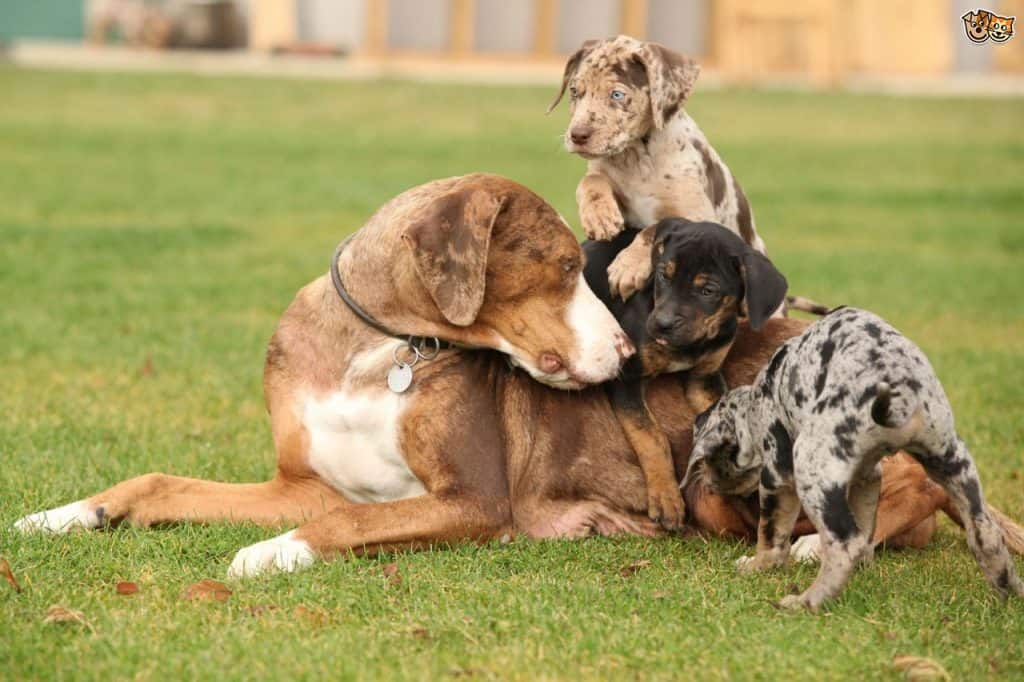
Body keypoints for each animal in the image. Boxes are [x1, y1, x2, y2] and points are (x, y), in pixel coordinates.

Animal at [581, 218, 786, 532]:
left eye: (708, 291)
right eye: (663, 276)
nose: (661, 324)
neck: (690, 345)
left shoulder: (704, 378)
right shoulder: (626, 380)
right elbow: (651, 437)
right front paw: (666, 498)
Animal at [684, 305, 1024, 606]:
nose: (710, 487)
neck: (757, 399)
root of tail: (899, 395)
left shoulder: (778, 477)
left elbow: (771, 535)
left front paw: (757, 566)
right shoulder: (868, 477)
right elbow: (865, 529)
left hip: (810, 470)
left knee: (843, 543)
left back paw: (806, 602)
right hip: (955, 466)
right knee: (986, 534)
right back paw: (1010, 591)